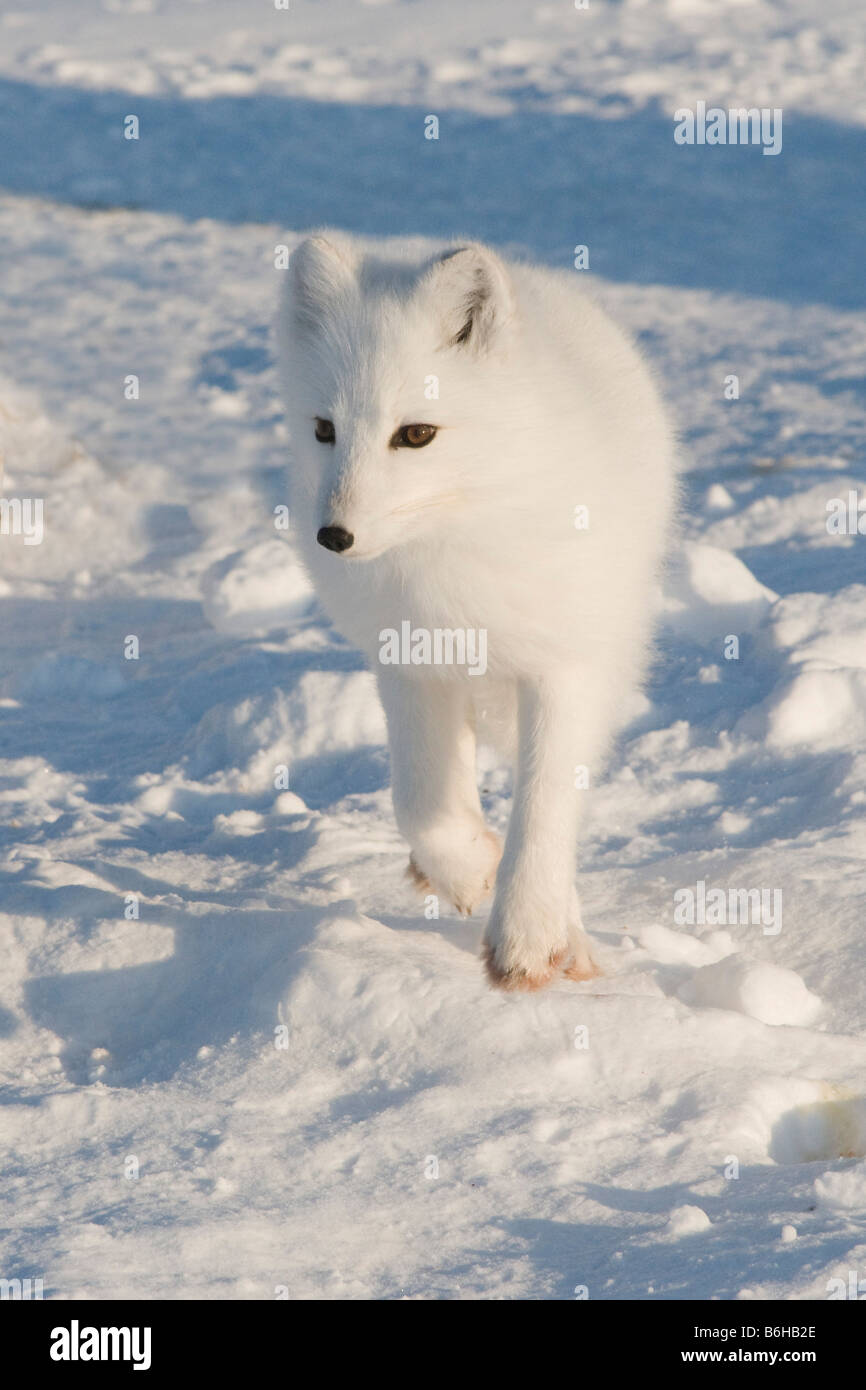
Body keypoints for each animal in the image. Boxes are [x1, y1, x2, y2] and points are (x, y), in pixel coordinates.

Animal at [278, 239, 678, 995]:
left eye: (416, 434)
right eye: (323, 430)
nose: (333, 538)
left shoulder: (566, 667)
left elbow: (545, 807)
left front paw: (526, 937)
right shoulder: (408, 666)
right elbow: (420, 802)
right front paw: (468, 870)